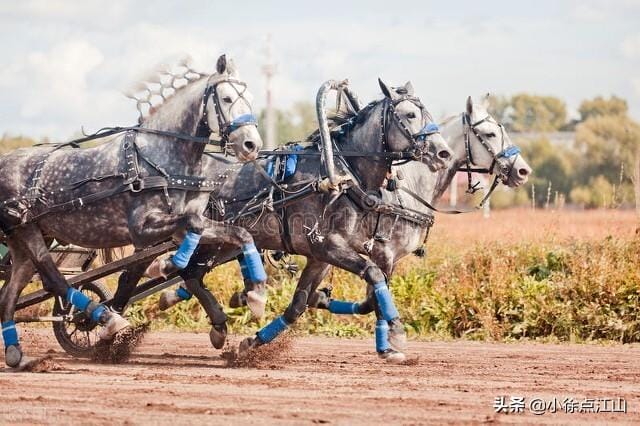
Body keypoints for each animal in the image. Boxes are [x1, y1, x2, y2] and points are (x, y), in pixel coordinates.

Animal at [0, 54, 264, 370]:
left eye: (250, 99)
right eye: (226, 98)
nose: (252, 145)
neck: (163, 159)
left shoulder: (183, 226)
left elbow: (239, 234)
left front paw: (256, 294)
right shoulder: (142, 228)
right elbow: (189, 233)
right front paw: (165, 265)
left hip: (28, 238)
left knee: (8, 296)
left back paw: (16, 352)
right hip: (26, 229)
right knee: (52, 277)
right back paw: (105, 318)